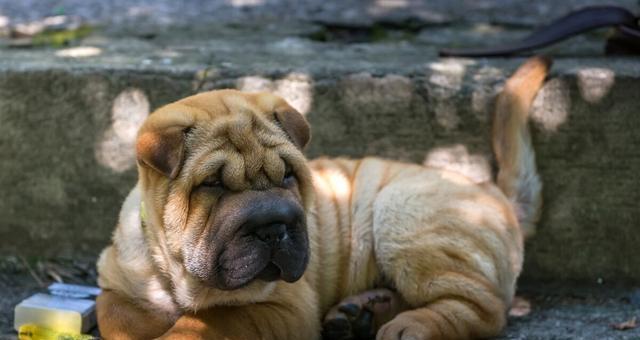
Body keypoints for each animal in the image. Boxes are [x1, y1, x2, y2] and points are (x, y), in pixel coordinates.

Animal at [95, 57, 552, 338]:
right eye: (213, 185)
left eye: (288, 176)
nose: (273, 227)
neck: (176, 275)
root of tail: (492, 191)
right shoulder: (117, 286)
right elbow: (113, 313)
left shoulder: (282, 306)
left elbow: (208, 324)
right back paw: (364, 311)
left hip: (403, 216)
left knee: (483, 307)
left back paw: (410, 326)